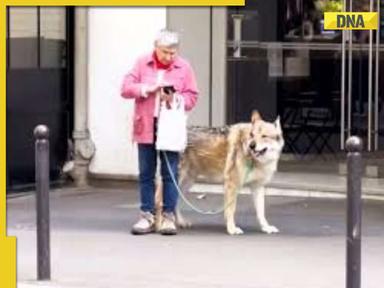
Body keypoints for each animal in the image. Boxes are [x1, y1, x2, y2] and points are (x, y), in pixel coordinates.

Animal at [156, 110, 284, 234]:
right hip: (175, 180)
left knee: (174, 201)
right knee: (159, 201)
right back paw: (161, 226)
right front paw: (232, 229)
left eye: (264, 136)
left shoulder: (258, 187)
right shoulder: (231, 185)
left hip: (186, 182)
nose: (252, 146)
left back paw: (180, 223)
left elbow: (261, 213)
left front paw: (266, 228)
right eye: (252, 135)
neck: (255, 160)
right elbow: (231, 210)